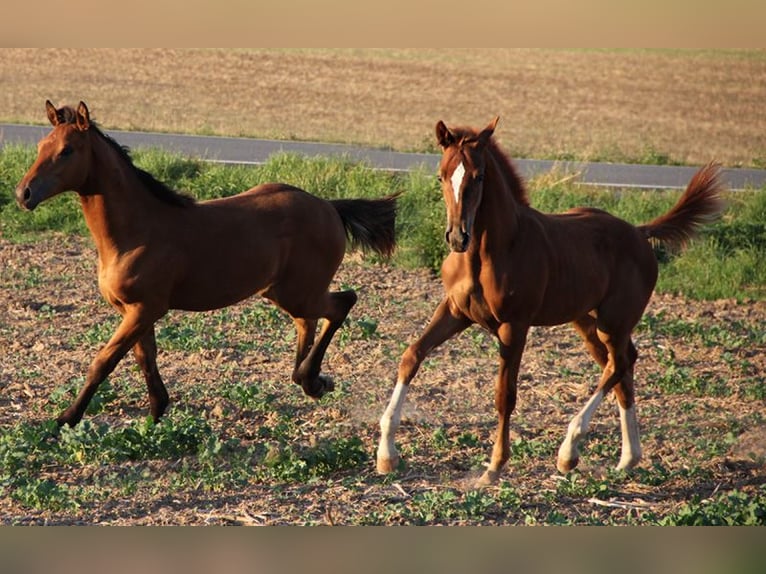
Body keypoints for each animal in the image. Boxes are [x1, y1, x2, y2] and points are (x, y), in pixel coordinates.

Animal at [15, 101, 400, 430]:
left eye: (66, 150)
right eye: (41, 146)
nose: (24, 194)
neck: (137, 231)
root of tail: (329, 206)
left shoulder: (144, 309)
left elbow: (104, 361)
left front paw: (65, 419)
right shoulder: (135, 310)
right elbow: (145, 359)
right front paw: (155, 415)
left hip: (299, 292)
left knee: (342, 303)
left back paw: (311, 379)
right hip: (283, 292)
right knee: (308, 320)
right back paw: (308, 379)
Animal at [378, 117, 728, 486]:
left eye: (479, 176)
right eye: (442, 176)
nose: (458, 237)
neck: (490, 252)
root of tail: (639, 232)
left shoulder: (514, 326)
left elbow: (505, 395)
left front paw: (494, 467)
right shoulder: (455, 311)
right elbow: (411, 356)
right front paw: (386, 455)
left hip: (613, 322)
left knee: (619, 364)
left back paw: (569, 450)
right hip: (587, 321)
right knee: (621, 365)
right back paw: (627, 459)